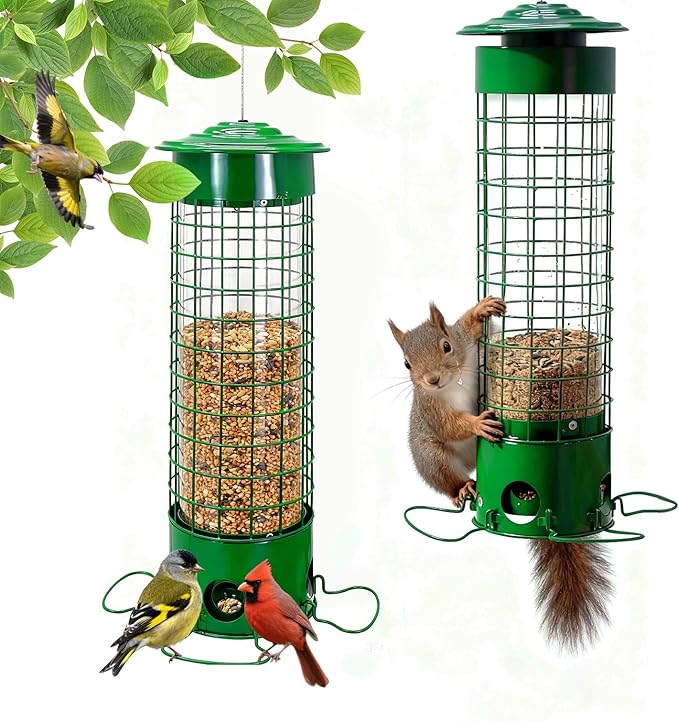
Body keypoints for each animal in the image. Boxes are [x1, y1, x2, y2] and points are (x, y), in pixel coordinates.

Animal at [388, 297, 506, 507]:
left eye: (447, 346)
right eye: (406, 364)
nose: (433, 380)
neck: (453, 381)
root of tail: (470, 463)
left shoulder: (464, 340)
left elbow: (467, 326)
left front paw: (481, 309)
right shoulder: (429, 406)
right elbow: (447, 425)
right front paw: (478, 423)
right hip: (433, 460)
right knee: (449, 481)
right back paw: (464, 488)